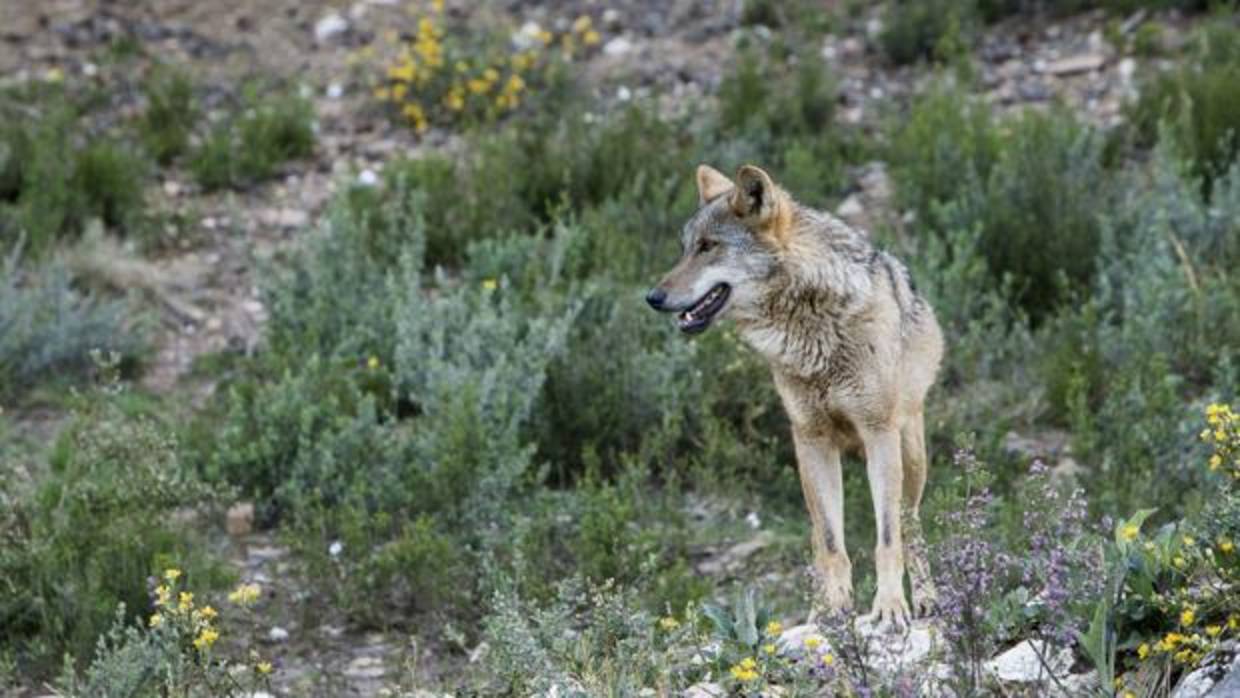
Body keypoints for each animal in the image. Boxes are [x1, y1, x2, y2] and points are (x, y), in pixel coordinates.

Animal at [644, 163, 942, 627]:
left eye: (709, 247)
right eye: (685, 249)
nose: (653, 298)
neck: (813, 325)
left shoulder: (877, 433)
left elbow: (887, 538)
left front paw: (890, 606)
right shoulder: (811, 438)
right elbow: (832, 543)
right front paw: (833, 611)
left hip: (910, 454)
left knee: (911, 526)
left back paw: (926, 599)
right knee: (819, 536)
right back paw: (818, 606)